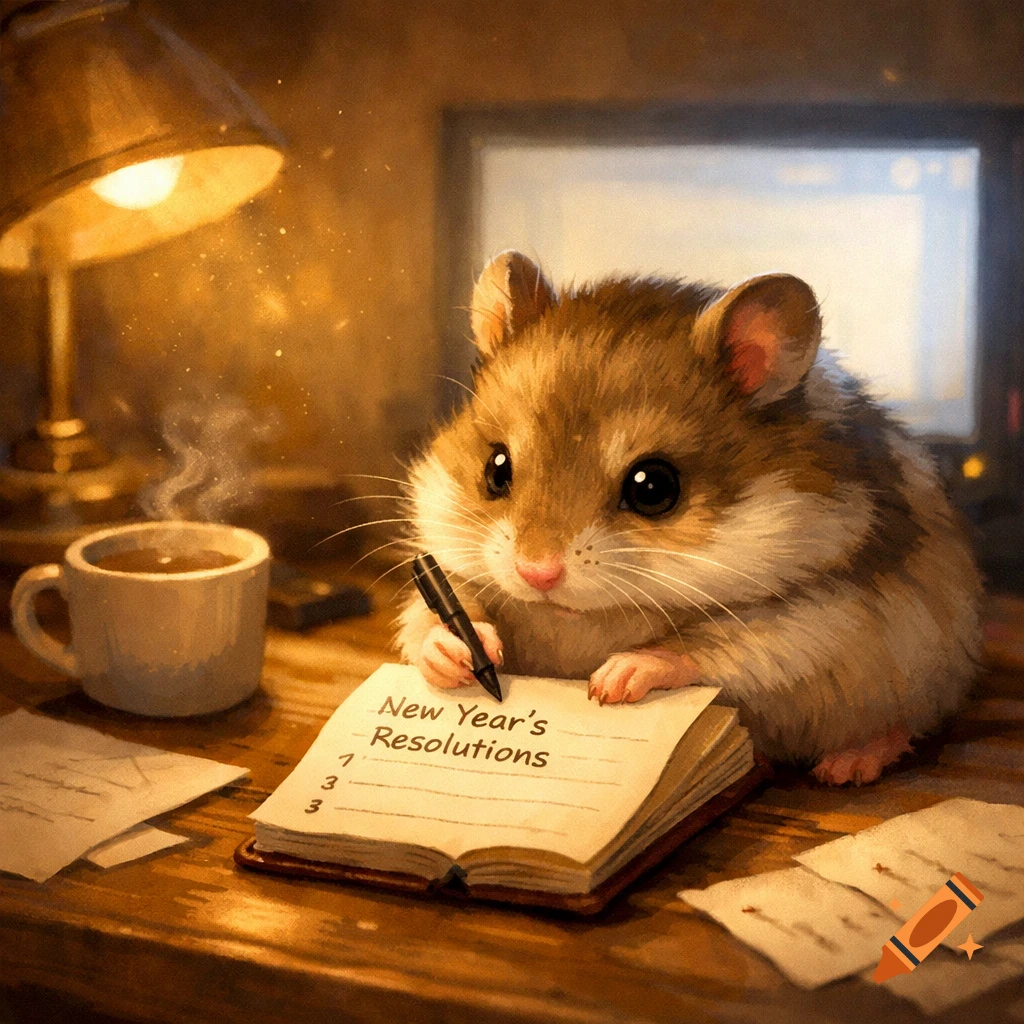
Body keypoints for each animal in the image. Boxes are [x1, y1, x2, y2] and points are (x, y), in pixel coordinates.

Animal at [395, 251, 983, 785]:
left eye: (653, 487)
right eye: (496, 469)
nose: (535, 573)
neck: (580, 619)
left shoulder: (814, 616)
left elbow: (703, 647)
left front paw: (611, 682)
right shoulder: (452, 576)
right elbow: (435, 616)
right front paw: (457, 655)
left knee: (902, 724)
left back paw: (847, 767)